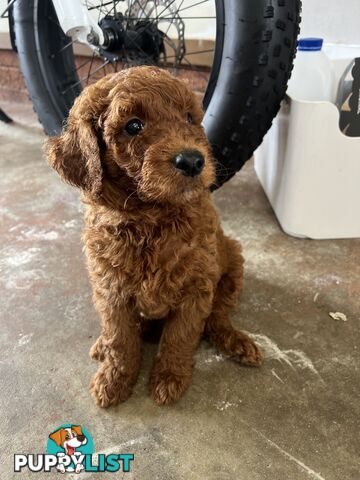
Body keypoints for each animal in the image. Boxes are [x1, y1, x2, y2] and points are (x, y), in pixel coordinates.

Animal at [46, 65, 262, 406]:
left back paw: (236, 341)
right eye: (133, 126)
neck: (151, 219)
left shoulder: (196, 287)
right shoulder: (111, 290)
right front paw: (115, 379)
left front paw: (169, 378)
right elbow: (120, 339)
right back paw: (103, 345)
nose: (193, 160)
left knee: (218, 317)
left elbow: (179, 337)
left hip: (233, 267)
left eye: (189, 118)